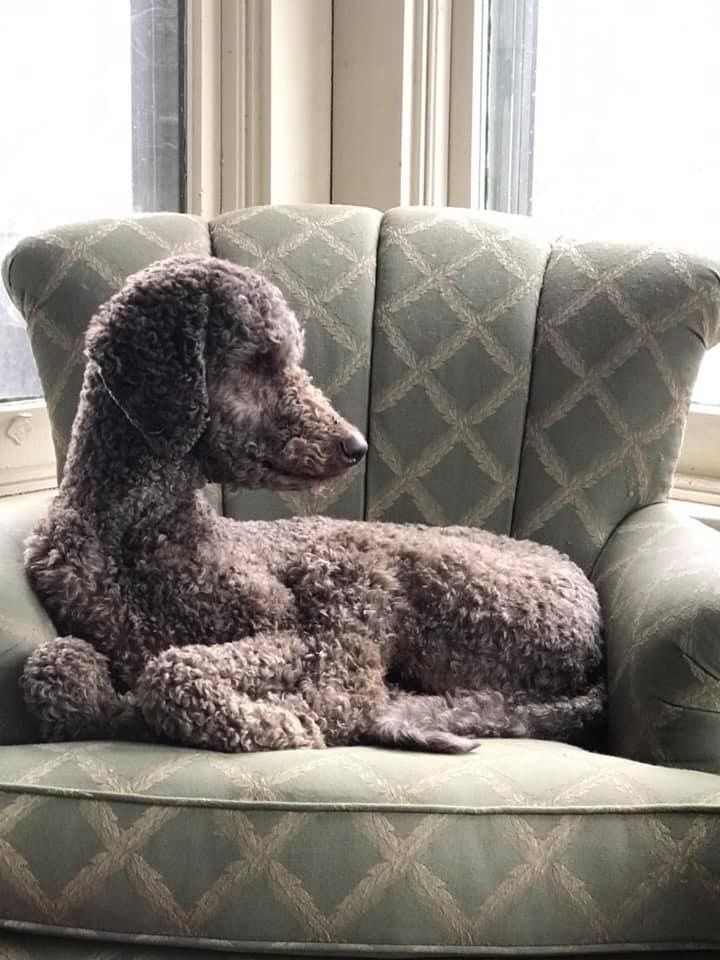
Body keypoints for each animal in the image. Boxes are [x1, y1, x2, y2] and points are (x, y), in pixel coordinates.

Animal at [21, 256, 600, 756]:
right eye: (259, 361)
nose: (356, 446)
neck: (139, 528)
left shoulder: (291, 632)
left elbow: (172, 669)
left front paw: (264, 720)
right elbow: (56, 664)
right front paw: (108, 703)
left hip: (352, 564)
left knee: (351, 696)